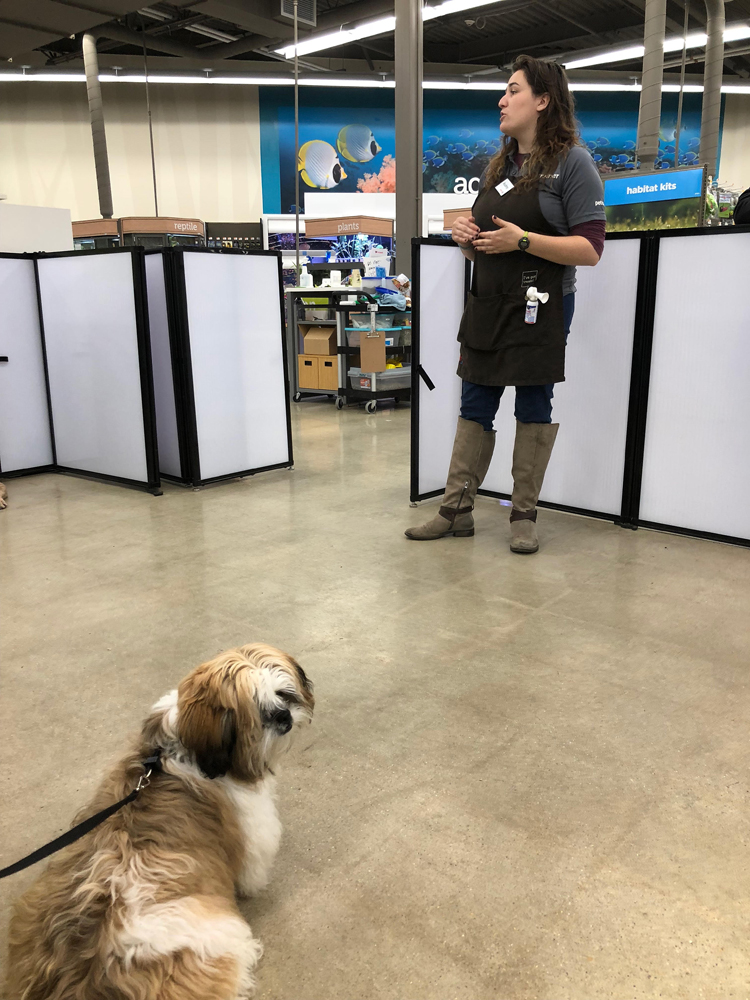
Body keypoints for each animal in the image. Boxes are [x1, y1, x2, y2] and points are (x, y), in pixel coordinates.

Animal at [3, 644, 314, 996]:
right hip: (219, 939)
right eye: (259, 712)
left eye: (283, 694)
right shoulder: (253, 825)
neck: (180, 752)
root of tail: (81, 977)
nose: (284, 716)